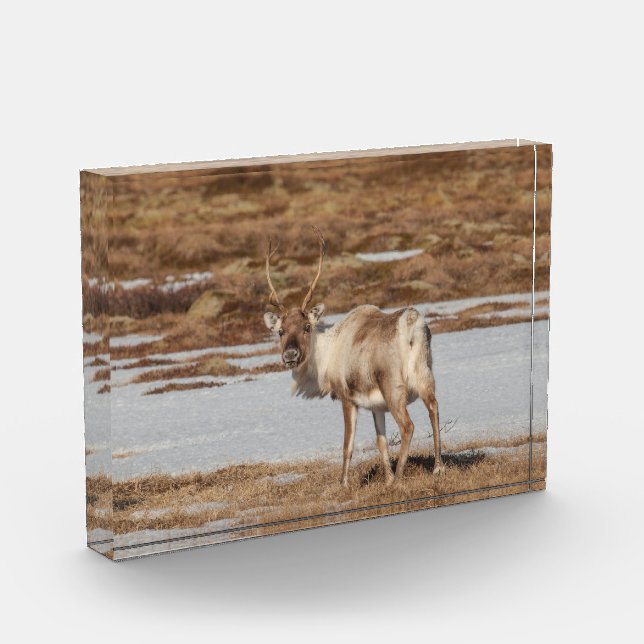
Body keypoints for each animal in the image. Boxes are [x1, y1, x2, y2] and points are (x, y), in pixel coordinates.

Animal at [262, 227, 445, 487]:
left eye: (307, 326)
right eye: (280, 331)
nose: (290, 355)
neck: (327, 356)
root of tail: (412, 326)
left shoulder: (347, 398)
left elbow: (347, 445)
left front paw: (344, 484)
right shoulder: (376, 405)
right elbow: (381, 441)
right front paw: (386, 479)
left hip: (394, 388)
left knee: (408, 426)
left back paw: (400, 479)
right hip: (425, 376)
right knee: (434, 408)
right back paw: (437, 467)